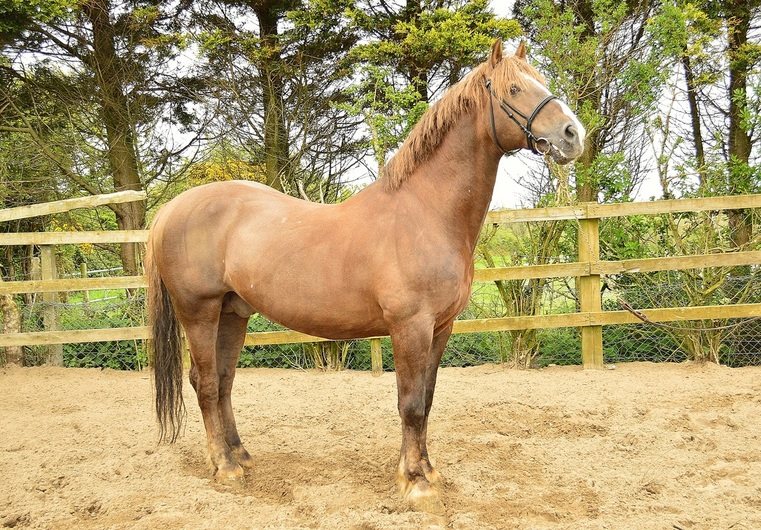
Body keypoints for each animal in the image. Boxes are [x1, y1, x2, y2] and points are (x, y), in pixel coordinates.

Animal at [147, 40, 585, 513]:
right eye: (515, 88)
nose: (572, 134)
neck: (425, 212)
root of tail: (171, 209)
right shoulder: (410, 326)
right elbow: (410, 404)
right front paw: (416, 485)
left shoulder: (441, 327)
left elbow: (427, 400)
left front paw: (425, 471)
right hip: (199, 312)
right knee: (206, 383)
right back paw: (225, 468)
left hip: (233, 313)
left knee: (225, 382)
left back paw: (240, 454)